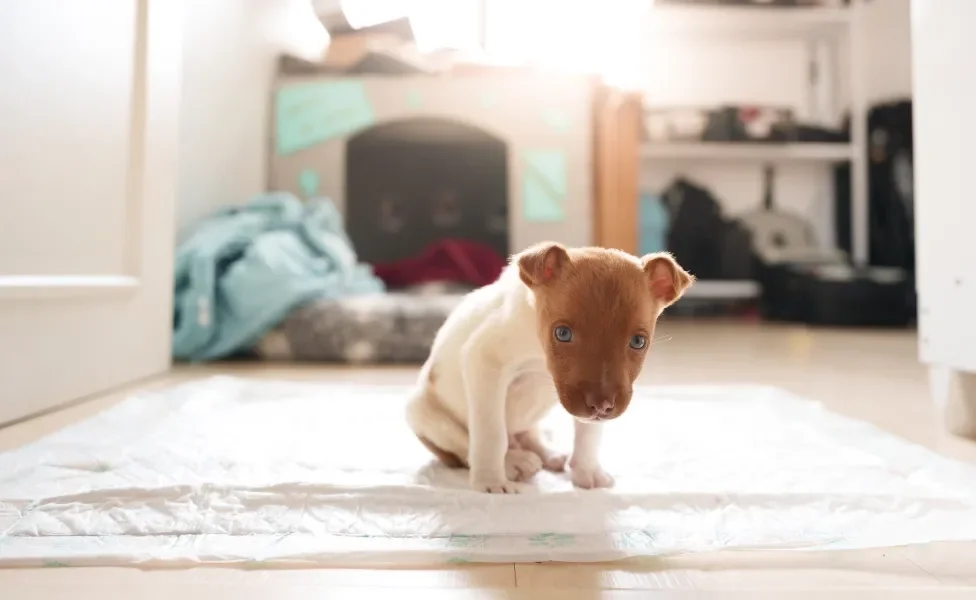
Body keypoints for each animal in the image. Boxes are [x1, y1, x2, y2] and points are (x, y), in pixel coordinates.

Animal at [404, 241, 692, 494]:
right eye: (562, 334)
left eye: (638, 341)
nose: (601, 406)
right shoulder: (484, 361)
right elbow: (490, 434)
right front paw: (490, 481)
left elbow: (588, 434)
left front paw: (587, 471)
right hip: (423, 413)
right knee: (466, 447)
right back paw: (514, 462)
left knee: (528, 433)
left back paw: (548, 454)